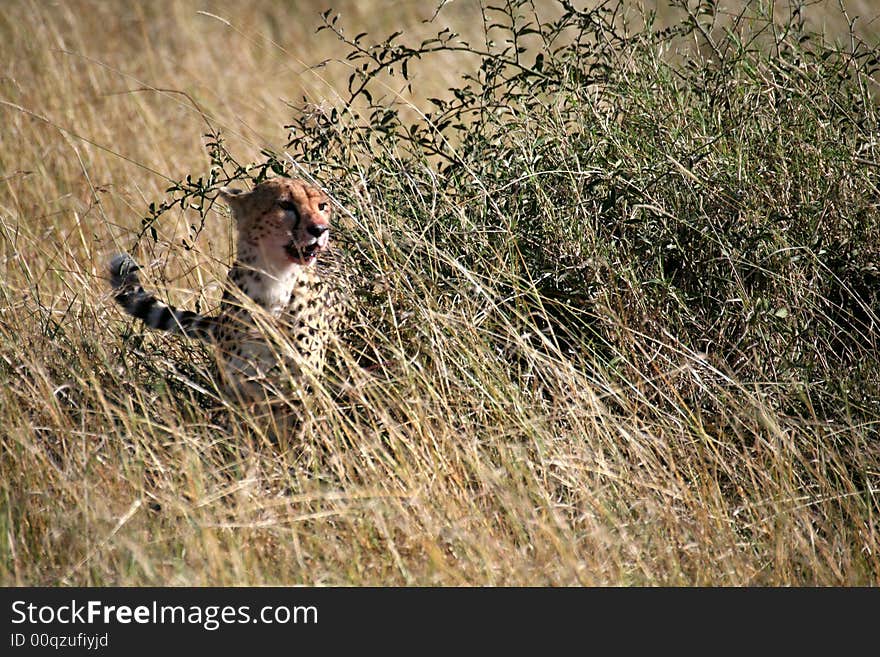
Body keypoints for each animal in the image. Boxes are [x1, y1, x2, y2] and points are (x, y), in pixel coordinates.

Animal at [108, 177, 342, 408]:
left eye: (322, 206)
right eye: (285, 205)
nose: (320, 229)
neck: (273, 279)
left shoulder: (302, 394)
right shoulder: (237, 393)